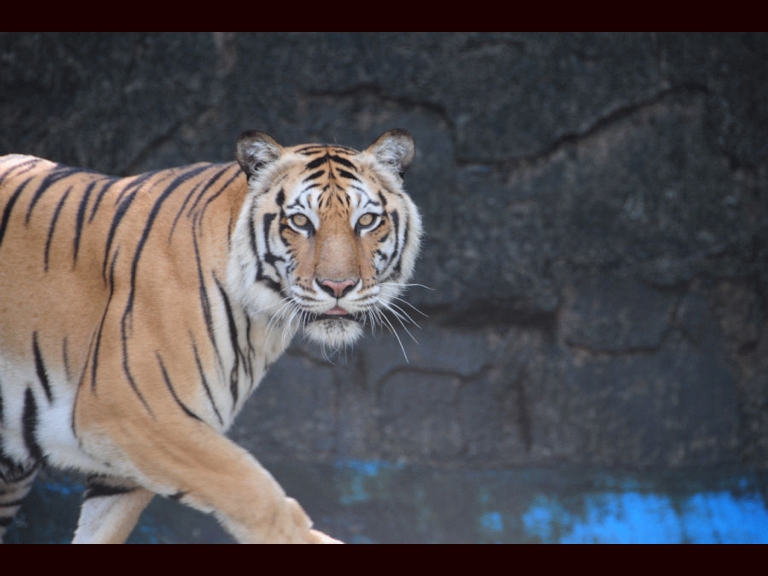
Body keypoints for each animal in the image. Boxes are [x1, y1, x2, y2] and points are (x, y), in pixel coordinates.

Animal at [0, 128, 420, 544]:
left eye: (367, 220)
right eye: (301, 222)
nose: (338, 286)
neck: (261, 323)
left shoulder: (121, 469)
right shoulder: (128, 410)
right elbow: (253, 490)